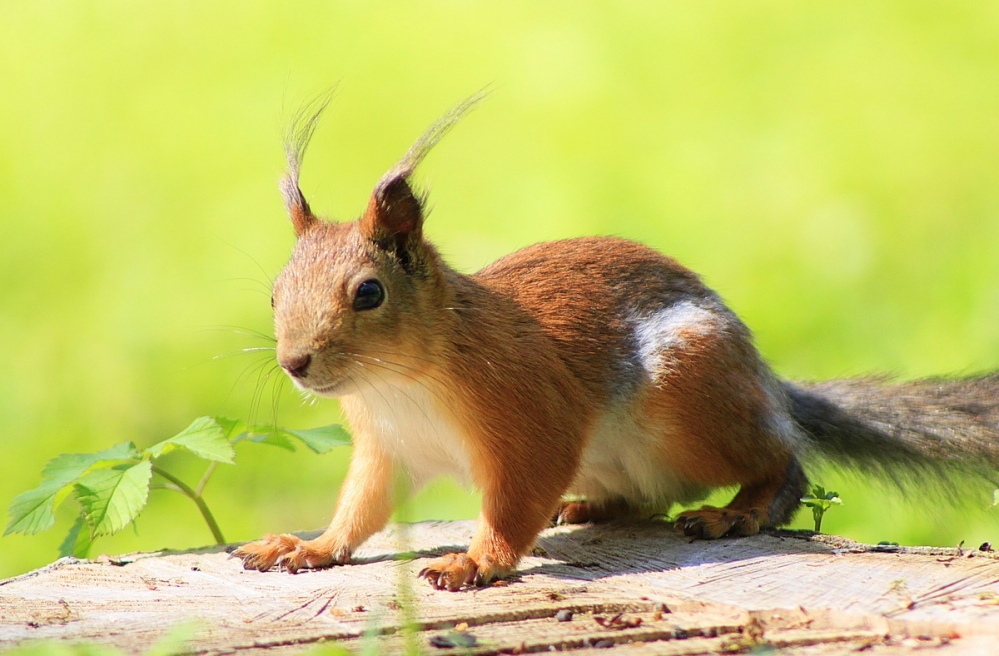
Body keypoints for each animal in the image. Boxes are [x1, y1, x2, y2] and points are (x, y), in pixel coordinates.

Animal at [234, 95, 999, 592]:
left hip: (690, 394)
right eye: (273, 293)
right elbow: (361, 510)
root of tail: (767, 385)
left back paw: (738, 510)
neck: (400, 381)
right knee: (648, 500)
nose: (294, 363)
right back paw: (591, 507)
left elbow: (514, 503)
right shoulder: (387, 448)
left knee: (784, 461)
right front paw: (309, 546)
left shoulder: (532, 415)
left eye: (369, 293)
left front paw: (476, 561)